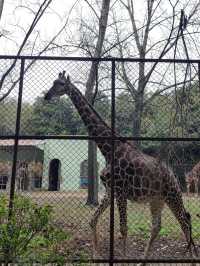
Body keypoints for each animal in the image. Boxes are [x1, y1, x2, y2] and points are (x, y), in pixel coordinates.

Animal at [44, 70, 198, 260]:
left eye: (60, 84)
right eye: (53, 82)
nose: (47, 96)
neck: (108, 151)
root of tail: (173, 176)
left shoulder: (121, 191)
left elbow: (123, 229)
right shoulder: (111, 191)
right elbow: (93, 220)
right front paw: (96, 255)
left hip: (172, 195)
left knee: (184, 221)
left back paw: (192, 258)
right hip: (157, 199)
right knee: (158, 226)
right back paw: (144, 260)